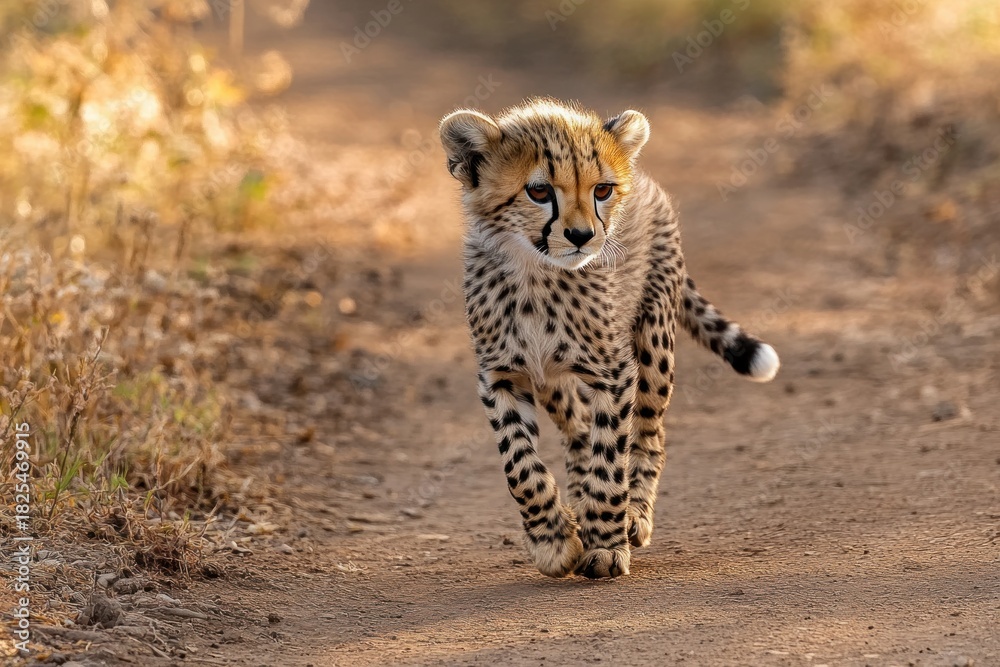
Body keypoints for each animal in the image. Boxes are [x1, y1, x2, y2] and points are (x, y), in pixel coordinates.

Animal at [439, 98, 780, 579]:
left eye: (601, 190)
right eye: (539, 192)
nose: (582, 236)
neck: (534, 275)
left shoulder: (614, 372)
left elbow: (609, 458)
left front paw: (604, 543)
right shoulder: (502, 374)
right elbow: (520, 464)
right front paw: (553, 540)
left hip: (653, 344)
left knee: (648, 432)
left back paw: (634, 513)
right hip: (554, 380)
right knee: (579, 428)